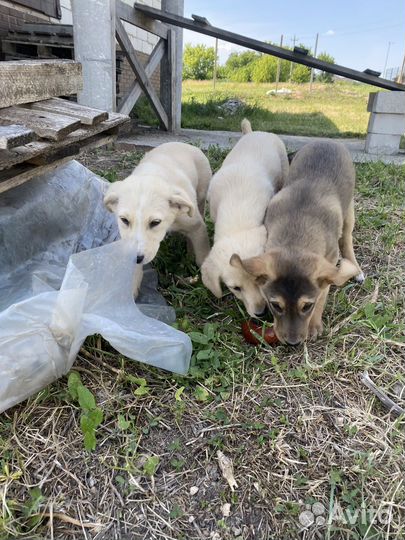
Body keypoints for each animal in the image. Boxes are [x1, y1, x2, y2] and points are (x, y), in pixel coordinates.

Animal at [103, 141, 211, 296]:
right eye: (124, 220)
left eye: (155, 222)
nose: (136, 257)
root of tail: (181, 143)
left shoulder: (196, 226)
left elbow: (202, 255)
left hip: (202, 190)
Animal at [234, 141, 362, 344]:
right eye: (276, 305)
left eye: (307, 306)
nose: (292, 343)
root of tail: (328, 141)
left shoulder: (330, 261)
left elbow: (322, 294)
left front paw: (314, 325)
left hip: (349, 210)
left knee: (347, 239)